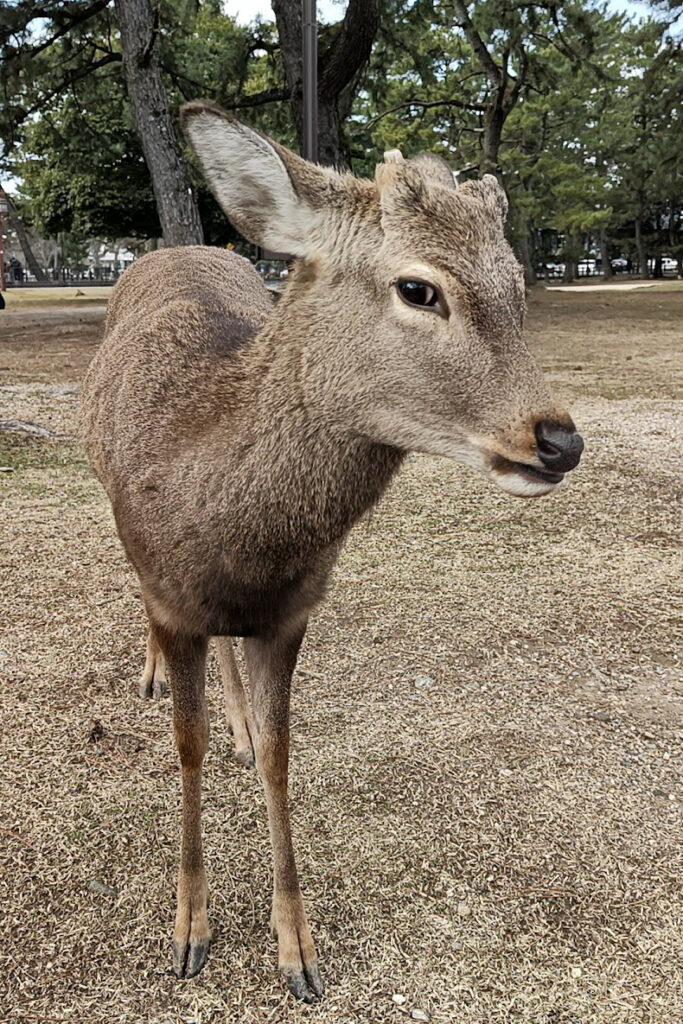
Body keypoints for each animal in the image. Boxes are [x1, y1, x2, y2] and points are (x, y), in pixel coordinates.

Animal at [80, 102, 584, 1003]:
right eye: (418, 288)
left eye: (519, 287)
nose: (559, 440)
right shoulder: (171, 597)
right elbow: (185, 746)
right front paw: (189, 932)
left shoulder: (292, 614)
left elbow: (282, 758)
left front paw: (298, 952)